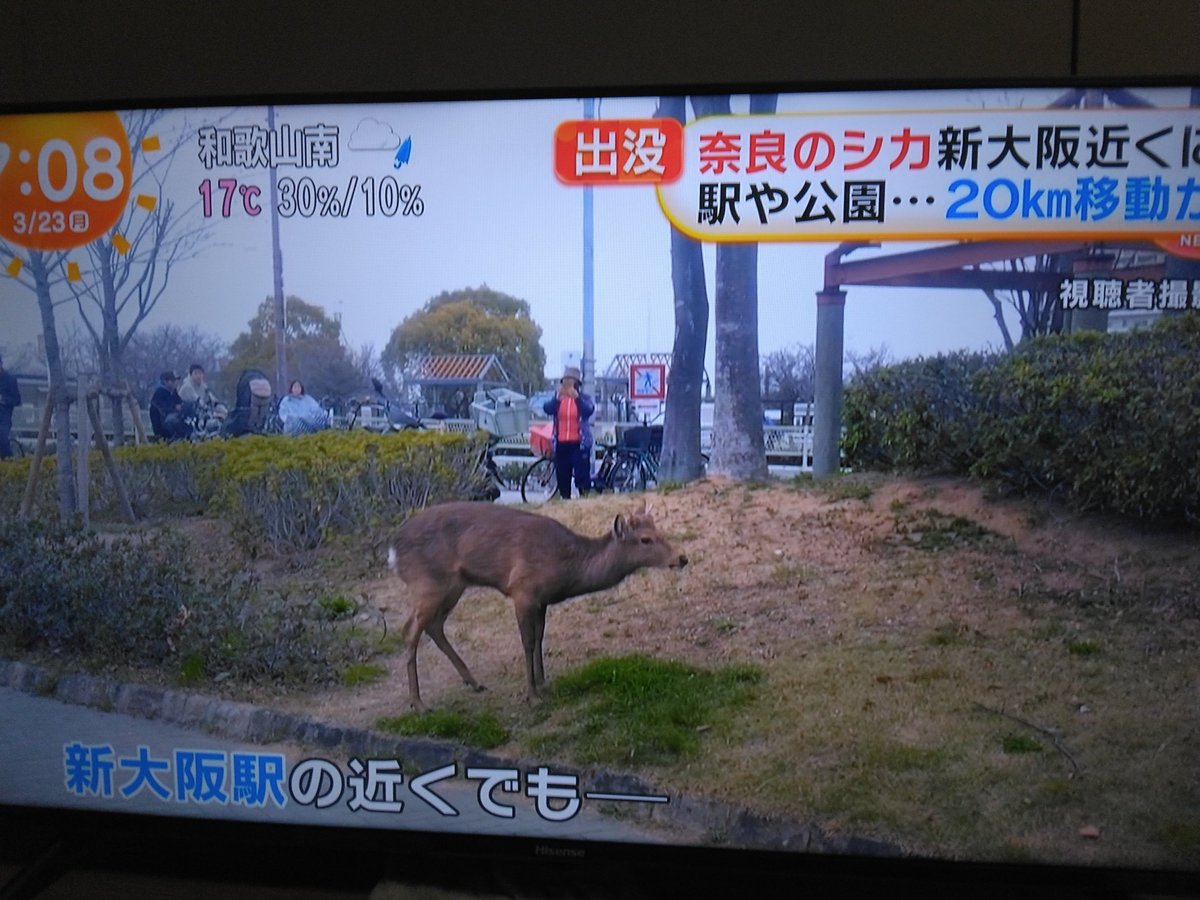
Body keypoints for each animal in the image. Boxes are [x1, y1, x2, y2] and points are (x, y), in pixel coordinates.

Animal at [387, 499, 687, 711]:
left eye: (659, 531)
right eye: (645, 539)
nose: (682, 558)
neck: (567, 568)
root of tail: (392, 549)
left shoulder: (543, 600)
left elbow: (541, 637)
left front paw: (543, 682)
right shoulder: (523, 590)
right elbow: (528, 642)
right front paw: (532, 695)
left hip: (453, 585)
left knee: (434, 626)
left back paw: (474, 682)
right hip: (427, 582)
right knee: (409, 630)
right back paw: (419, 703)